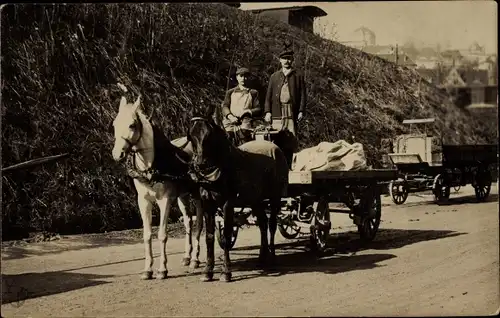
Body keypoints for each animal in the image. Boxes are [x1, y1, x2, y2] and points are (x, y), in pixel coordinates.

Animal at [111, 95, 203, 280]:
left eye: (132, 125)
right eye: (115, 124)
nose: (117, 154)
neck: (151, 166)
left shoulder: (165, 200)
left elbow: (162, 235)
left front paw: (162, 269)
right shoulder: (143, 201)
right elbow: (147, 235)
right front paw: (147, 269)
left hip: (197, 195)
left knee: (199, 224)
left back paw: (195, 259)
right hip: (182, 196)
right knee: (188, 222)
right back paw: (187, 257)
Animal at [187, 115, 290, 282]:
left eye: (209, 135)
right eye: (191, 137)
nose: (201, 164)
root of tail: (275, 148)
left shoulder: (228, 204)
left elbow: (226, 236)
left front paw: (226, 272)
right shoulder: (208, 205)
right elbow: (209, 237)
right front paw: (208, 271)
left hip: (275, 197)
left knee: (272, 224)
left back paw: (272, 257)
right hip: (256, 200)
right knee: (263, 223)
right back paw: (262, 257)